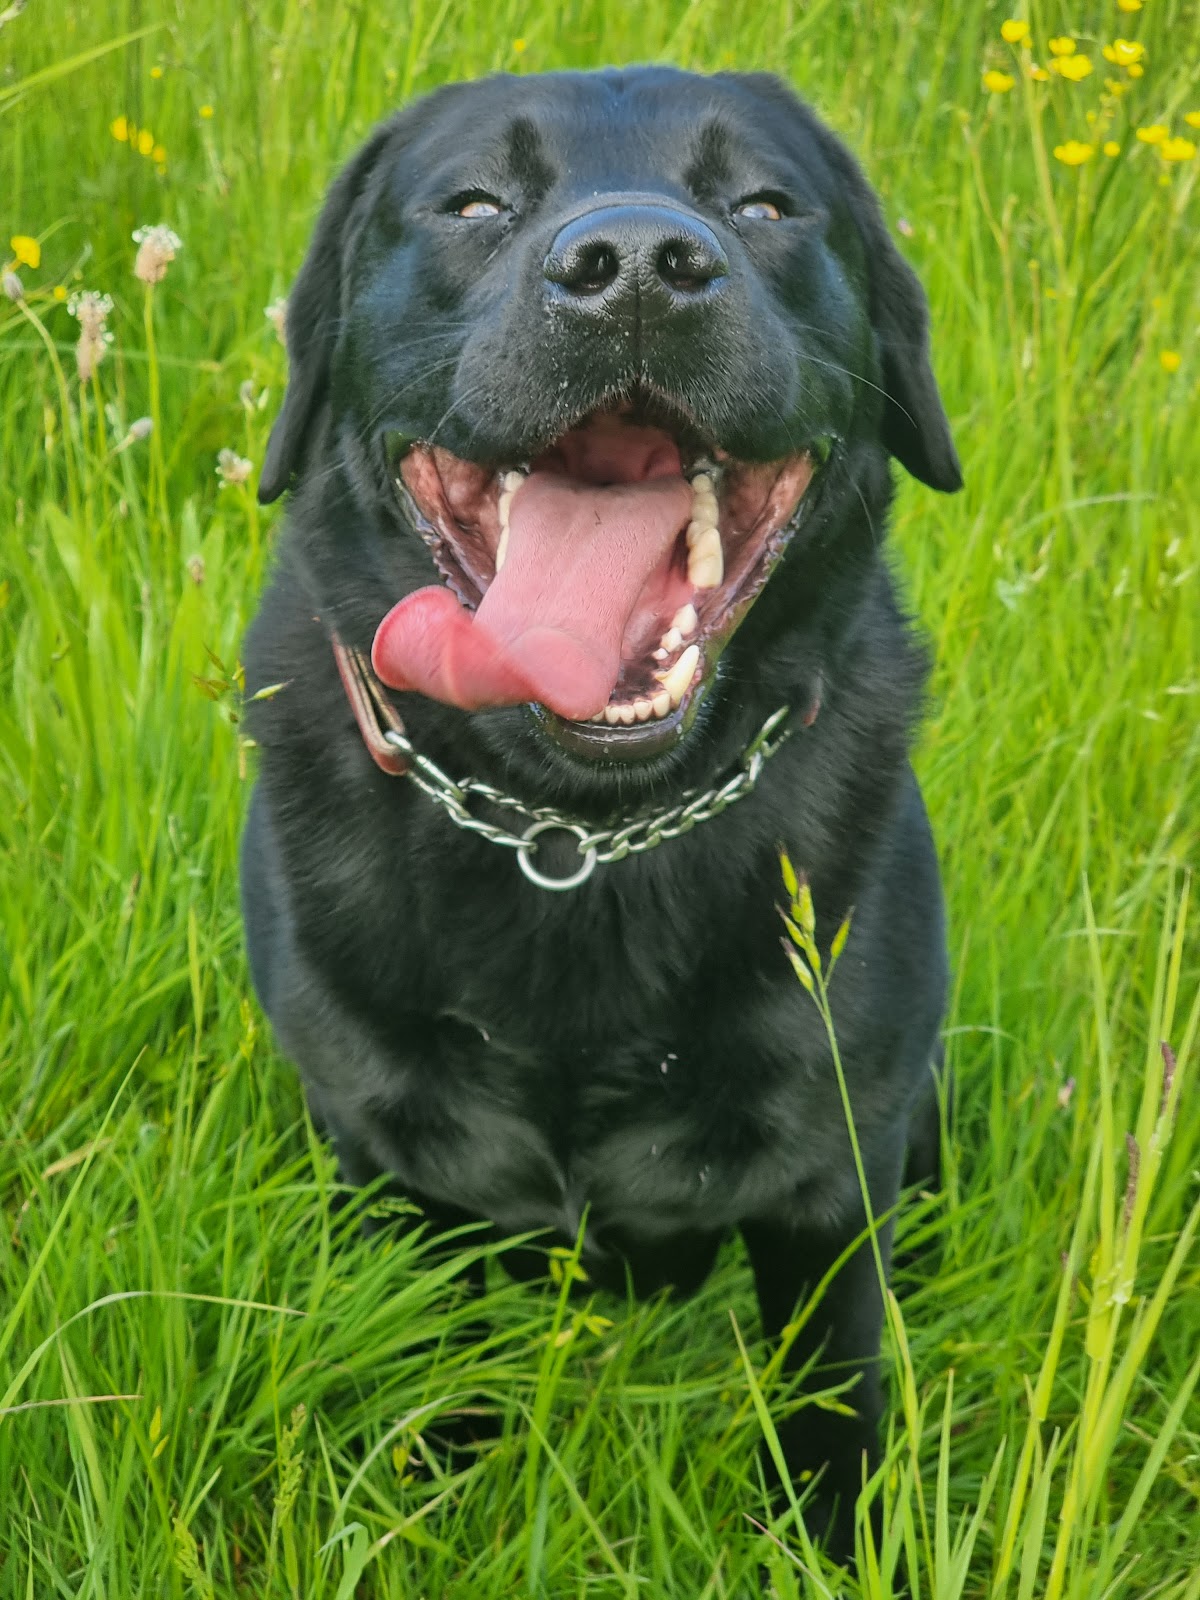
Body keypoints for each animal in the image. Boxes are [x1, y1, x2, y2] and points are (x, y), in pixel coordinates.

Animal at [241, 68, 960, 1555]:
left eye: (763, 204)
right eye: (472, 204)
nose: (635, 264)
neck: (574, 830)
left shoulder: (835, 1176)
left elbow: (835, 1407)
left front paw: (836, 1549)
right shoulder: (393, 1169)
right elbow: (418, 1374)